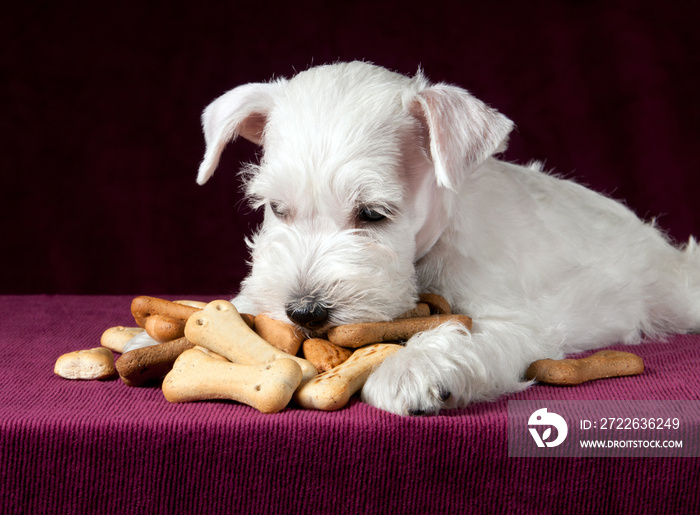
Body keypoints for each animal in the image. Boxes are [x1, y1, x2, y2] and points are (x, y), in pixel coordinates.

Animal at [193, 61, 700, 416]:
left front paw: (411, 369)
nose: (303, 312)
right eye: (277, 209)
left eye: (373, 213)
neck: (429, 249)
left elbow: (462, 333)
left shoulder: (515, 321)